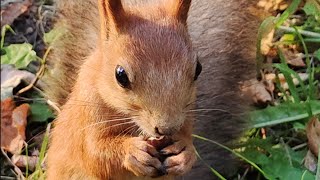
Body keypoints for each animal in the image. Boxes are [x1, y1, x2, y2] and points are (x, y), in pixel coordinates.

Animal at [43, 0, 266, 179]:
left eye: (198, 68)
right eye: (120, 75)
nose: (166, 128)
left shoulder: (187, 113)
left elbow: (187, 140)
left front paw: (185, 152)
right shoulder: (87, 114)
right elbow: (93, 154)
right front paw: (132, 152)